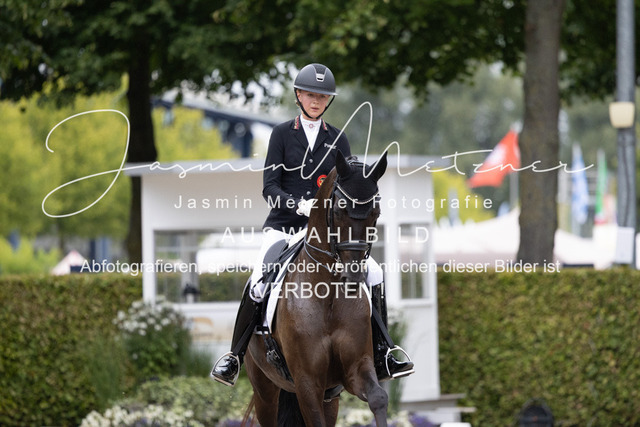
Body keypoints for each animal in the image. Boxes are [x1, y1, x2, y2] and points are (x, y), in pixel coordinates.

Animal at [243, 150, 389, 427]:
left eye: (375, 211)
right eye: (340, 210)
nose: (354, 275)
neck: (328, 293)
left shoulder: (354, 369)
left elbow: (378, 398)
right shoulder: (307, 382)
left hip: (330, 397)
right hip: (265, 389)